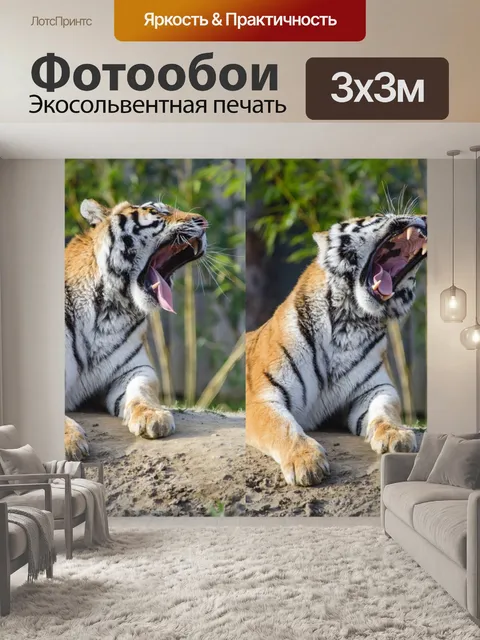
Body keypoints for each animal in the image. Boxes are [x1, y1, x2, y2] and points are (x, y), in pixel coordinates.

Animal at [64, 198, 207, 460]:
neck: (110, 311)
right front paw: (71, 441)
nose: (203, 222)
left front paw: (154, 417)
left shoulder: (134, 368)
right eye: (154, 211)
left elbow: (141, 391)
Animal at [246, 211, 427, 486]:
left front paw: (397, 435)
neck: (351, 321)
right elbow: (282, 426)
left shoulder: (374, 388)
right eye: (380, 215)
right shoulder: (263, 397)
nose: (425, 216)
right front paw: (305, 461)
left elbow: (385, 410)